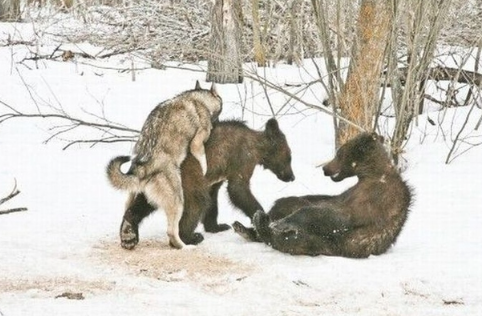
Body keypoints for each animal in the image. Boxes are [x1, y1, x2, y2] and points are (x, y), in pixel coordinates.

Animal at [233, 132, 410, 258]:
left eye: (339, 153)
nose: (325, 168)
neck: (372, 173)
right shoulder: (351, 191)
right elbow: (326, 199)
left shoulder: (376, 195)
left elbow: (341, 215)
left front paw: (280, 223)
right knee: (288, 205)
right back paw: (249, 225)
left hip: (328, 243)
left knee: (294, 240)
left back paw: (263, 225)